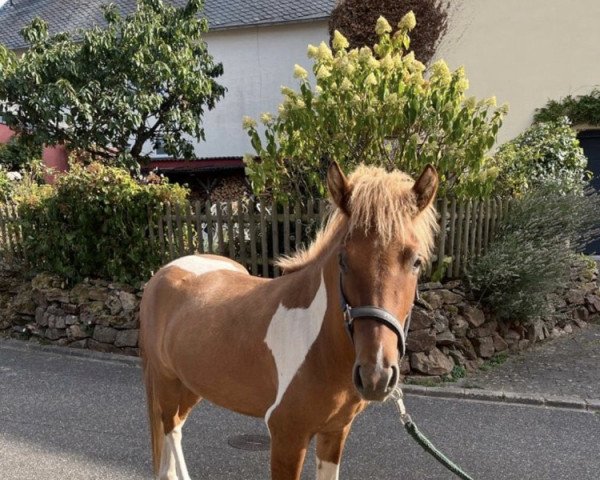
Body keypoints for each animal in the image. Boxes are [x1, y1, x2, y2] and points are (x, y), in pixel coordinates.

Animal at [141, 162, 440, 480]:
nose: (376, 375)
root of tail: (162, 274)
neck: (318, 346)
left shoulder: (335, 432)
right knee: (171, 428)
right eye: (343, 260)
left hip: (191, 383)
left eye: (416, 261)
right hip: (167, 381)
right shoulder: (287, 436)